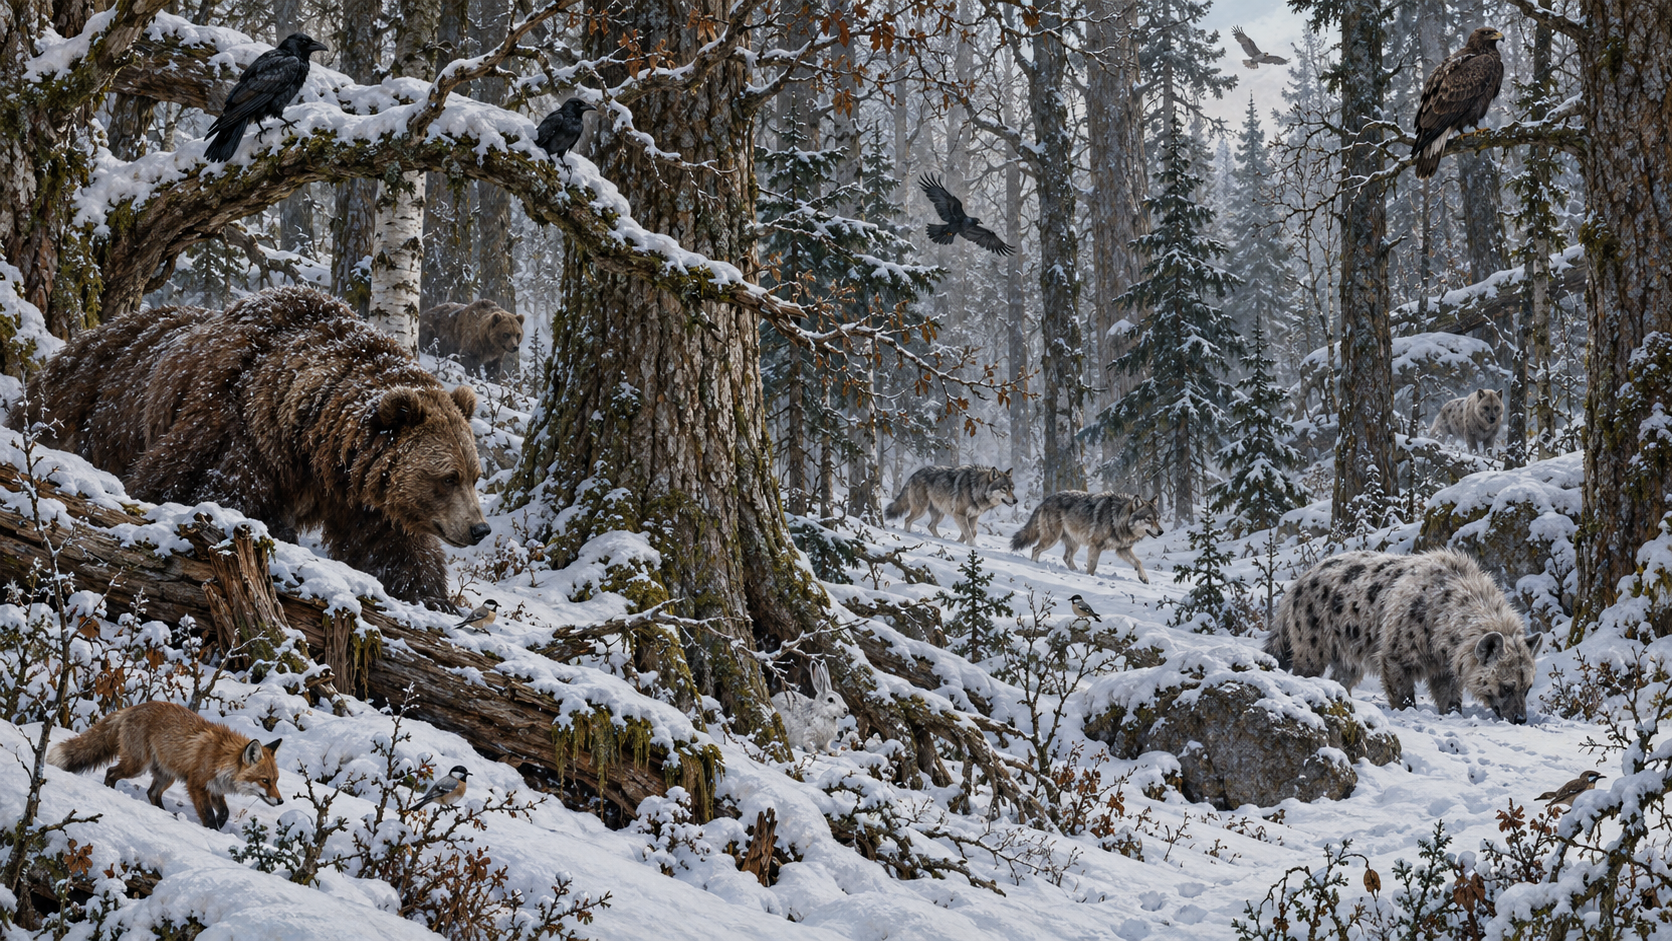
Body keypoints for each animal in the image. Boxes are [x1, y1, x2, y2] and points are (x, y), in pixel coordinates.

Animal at [48, 701, 284, 829]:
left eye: (276, 780)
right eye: (265, 780)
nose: (281, 801)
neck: (220, 757)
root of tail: (132, 708)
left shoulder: (215, 788)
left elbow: (224, 812)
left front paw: (221, 822)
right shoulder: (196, 785)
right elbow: (208, 816)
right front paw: (213, 830)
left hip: (166, 776)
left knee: (152, 793)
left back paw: (166, 814)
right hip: (137, 766)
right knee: (111, 773)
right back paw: (112, 792)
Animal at [884, 464, 1018, 545]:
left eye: (1012, 488)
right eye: (1004, 489)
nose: (1016, 500)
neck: (976, 489)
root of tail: (914, 475)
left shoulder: (973, 516)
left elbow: (972, 532)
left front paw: (959, 543)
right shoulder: (959, 514)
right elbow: (969, 533)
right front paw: (973, 547)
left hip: (939, 514)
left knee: (930, 526)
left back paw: (939, 539)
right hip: (920, 510)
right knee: (907, 519)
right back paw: (907, 534)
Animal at [1009, 491, 1165, 582]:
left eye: (1158, 518)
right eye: (1149, 519)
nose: (1161, 532)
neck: (1117, 518)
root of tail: (1045, 500)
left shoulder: (1122, 549)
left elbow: (1138, 562)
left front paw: (1144, 577)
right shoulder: (1095, 546)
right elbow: (1092, 567)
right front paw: (1090, 578)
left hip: (1074, 543)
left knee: (1066, 557)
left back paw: (1076, 571)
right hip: (1051, 539)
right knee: (1035, 549)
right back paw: (1034, 565)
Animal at [1265, 549, 1544, 723]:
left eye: (1528, 687)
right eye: (1506, 686)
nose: (1520, 718)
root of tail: (1298, 582)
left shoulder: (1443, 666)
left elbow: (1449, 697)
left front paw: (1452, 712)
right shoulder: (1396, 652)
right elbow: (1402, 693)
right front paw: (1407, 710)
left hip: (1348, 652)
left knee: (1343, 675)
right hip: (1312, 641)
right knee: (1304, 668)